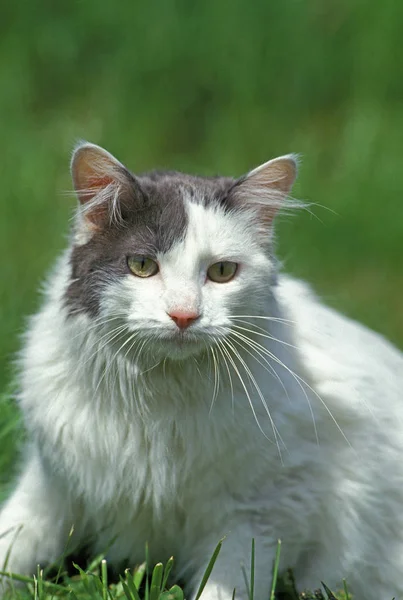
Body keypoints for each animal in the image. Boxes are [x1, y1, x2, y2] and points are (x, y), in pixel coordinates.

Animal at [0, 142, 403, 600]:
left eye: (222, 272)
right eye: (142, 265)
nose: (184, 315)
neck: (158, 403)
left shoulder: (262, 512)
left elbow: (222, 587)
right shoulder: (53, 487)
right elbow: (13, 543)